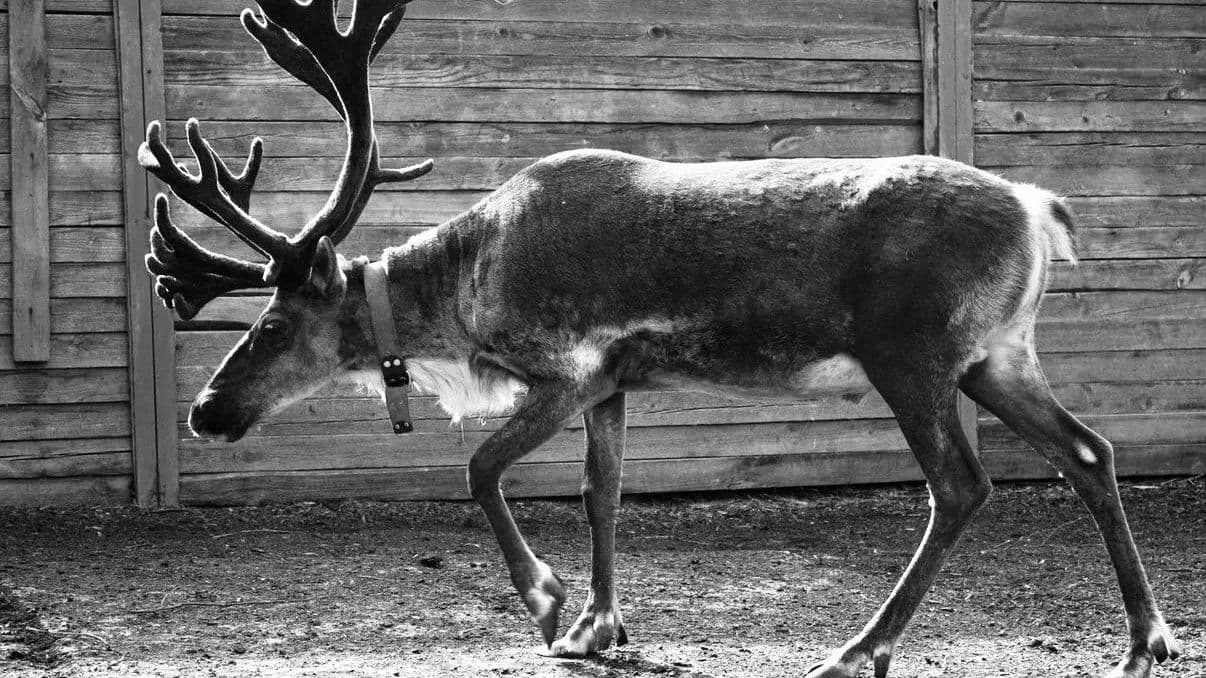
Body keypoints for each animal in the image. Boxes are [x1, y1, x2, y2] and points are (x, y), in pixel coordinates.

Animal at [137, 2, 1182, 676]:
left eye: (274, 322)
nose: (205, 410)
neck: (470, 294)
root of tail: (1040, 210)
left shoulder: (563, 368)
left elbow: (478, 469)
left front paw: (546, 604)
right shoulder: (614, 382)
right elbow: (602, 493)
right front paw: (600, 628)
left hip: (913, 356)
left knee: (963, 485)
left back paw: (859, 648)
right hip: (997, 358)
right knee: (1090, 451)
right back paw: (1145, 641)